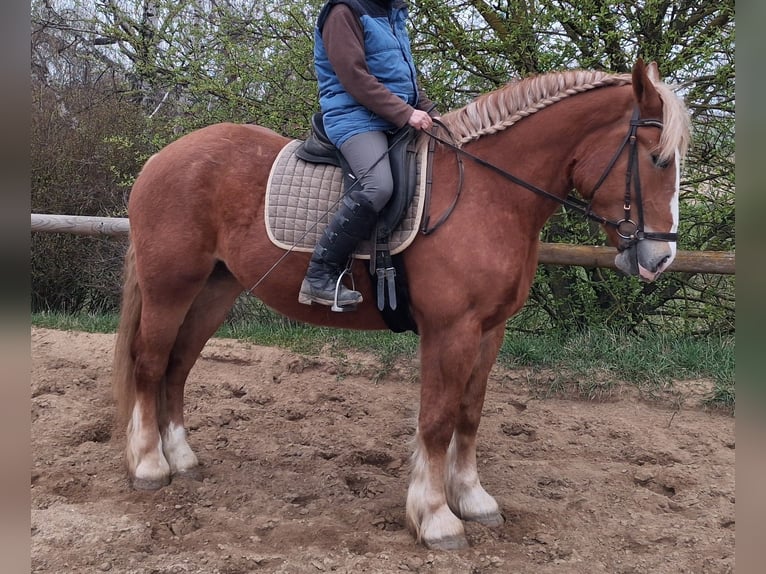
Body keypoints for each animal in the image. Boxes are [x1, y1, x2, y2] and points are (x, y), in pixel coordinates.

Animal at [113, 59, 690, 550]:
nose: (659, 258)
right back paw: (149, 466)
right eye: (656, 159)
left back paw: (182, 458)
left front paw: (472, 498)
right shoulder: (451, 330)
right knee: (150, 364)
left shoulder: (489, 330)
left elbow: (469, 414)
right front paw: (435, 518)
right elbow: (436, 420)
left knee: (177, 367)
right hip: (171, 288)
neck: (489, 194)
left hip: (214, 290)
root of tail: (164, 156)